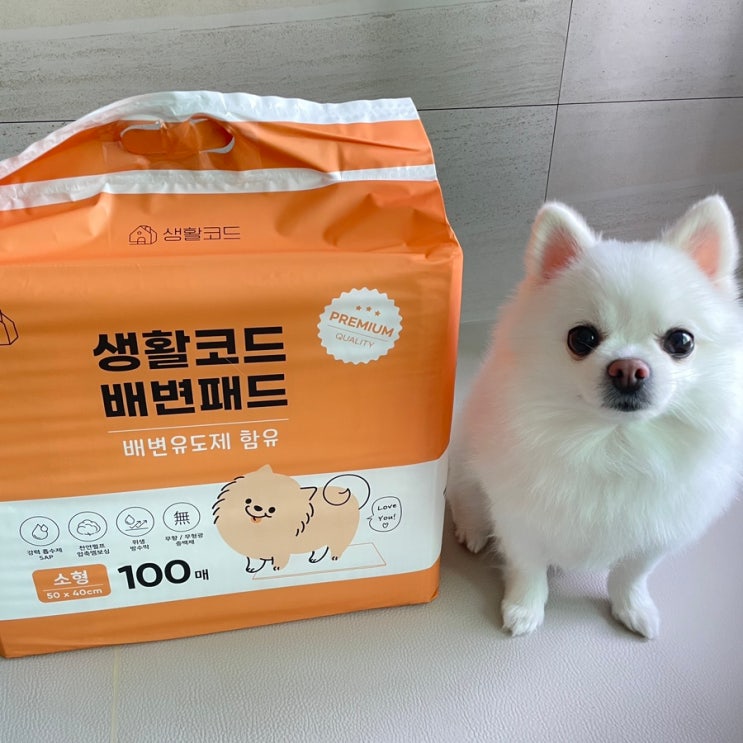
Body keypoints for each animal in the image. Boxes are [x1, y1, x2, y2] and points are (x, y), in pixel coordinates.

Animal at [213, 465, 369, 573]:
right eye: (248, 500)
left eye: (272, 510)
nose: (258, 507)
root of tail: (351, 496)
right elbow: (255, 560)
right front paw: (253, 568)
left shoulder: (281, 548)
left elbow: (280, 558)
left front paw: (276, 567)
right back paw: (314, 558)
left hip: (340, 535)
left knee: (337, 547)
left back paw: (334, 557)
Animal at [448, 196, 743, 638]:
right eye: (582, 338)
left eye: (681, 341)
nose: (629, 369)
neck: (614, 444)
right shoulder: (522, 518)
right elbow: (528, 569)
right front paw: (524, 609)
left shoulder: (654, 533)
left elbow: (631, 574)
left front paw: (633, 608)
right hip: (467, 464)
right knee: (464, 498)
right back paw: (472, 530)